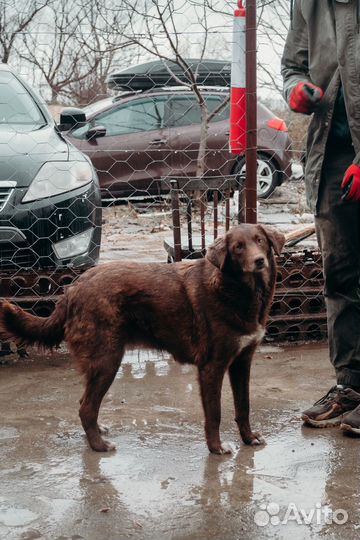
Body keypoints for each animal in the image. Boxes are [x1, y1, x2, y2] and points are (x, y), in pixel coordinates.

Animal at [0, 224, 284, 452]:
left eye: (260, 241)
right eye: (237, 247)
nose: (259, 261)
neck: (239, 291)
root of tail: (73, 288)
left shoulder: (242, 361)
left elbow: (243, 406)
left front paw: (248, 438)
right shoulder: (211, 367)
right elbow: (214, 413)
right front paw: (216, 448)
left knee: (85, 404)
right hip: (107, 360)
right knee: (85, 408)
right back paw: (99, 446)